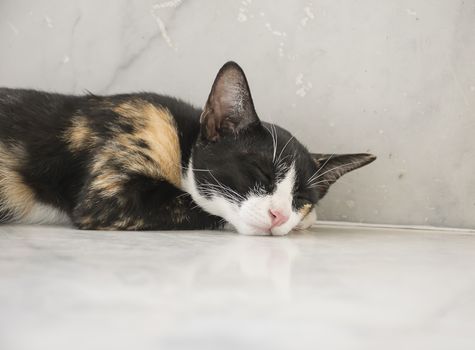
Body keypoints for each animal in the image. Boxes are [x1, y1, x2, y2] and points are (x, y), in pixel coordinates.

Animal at [0, 61, 378, 237]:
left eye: (301, 197)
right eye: (258, 171)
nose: (281, 215)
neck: (183, 143)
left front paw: (301, 220)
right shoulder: (108, 192)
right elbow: (194, 204)